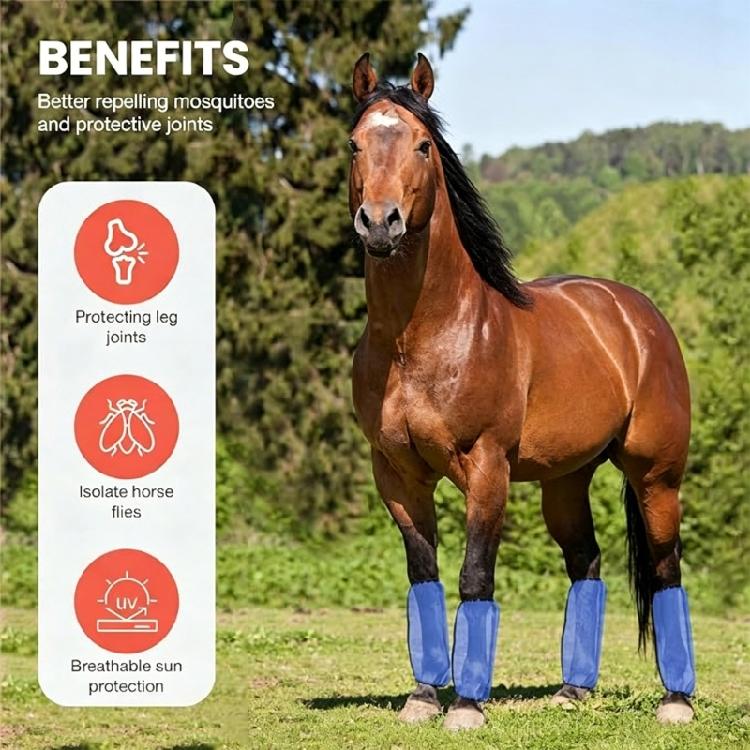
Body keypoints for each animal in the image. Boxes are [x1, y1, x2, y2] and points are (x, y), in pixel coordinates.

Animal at [349, 53, 696, 731]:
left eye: (423, 145)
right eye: (353, 145)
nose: (380, 224)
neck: (421, 339)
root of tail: (637, 314)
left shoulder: (487, 469)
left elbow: (474, 576)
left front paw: (466, 708)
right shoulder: (397, 475)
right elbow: (423, 576)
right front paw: (423, 698)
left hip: (656, 476)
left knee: (666, 566)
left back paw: (676, 702)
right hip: (565, 481)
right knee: (586, 562)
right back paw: (573, 690)